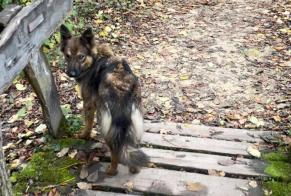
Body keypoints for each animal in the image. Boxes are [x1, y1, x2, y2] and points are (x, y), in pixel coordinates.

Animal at [60, 25, 149, 175]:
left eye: (81, 57)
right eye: (67, 56)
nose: (71, 74)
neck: (94, 58)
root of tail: (124, 90)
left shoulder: (88, 103)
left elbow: (88, 124)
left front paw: (83, 136)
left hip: (104, 122)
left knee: (115, 150)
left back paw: (112, 170)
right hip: (134, 122)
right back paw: (134, 168)